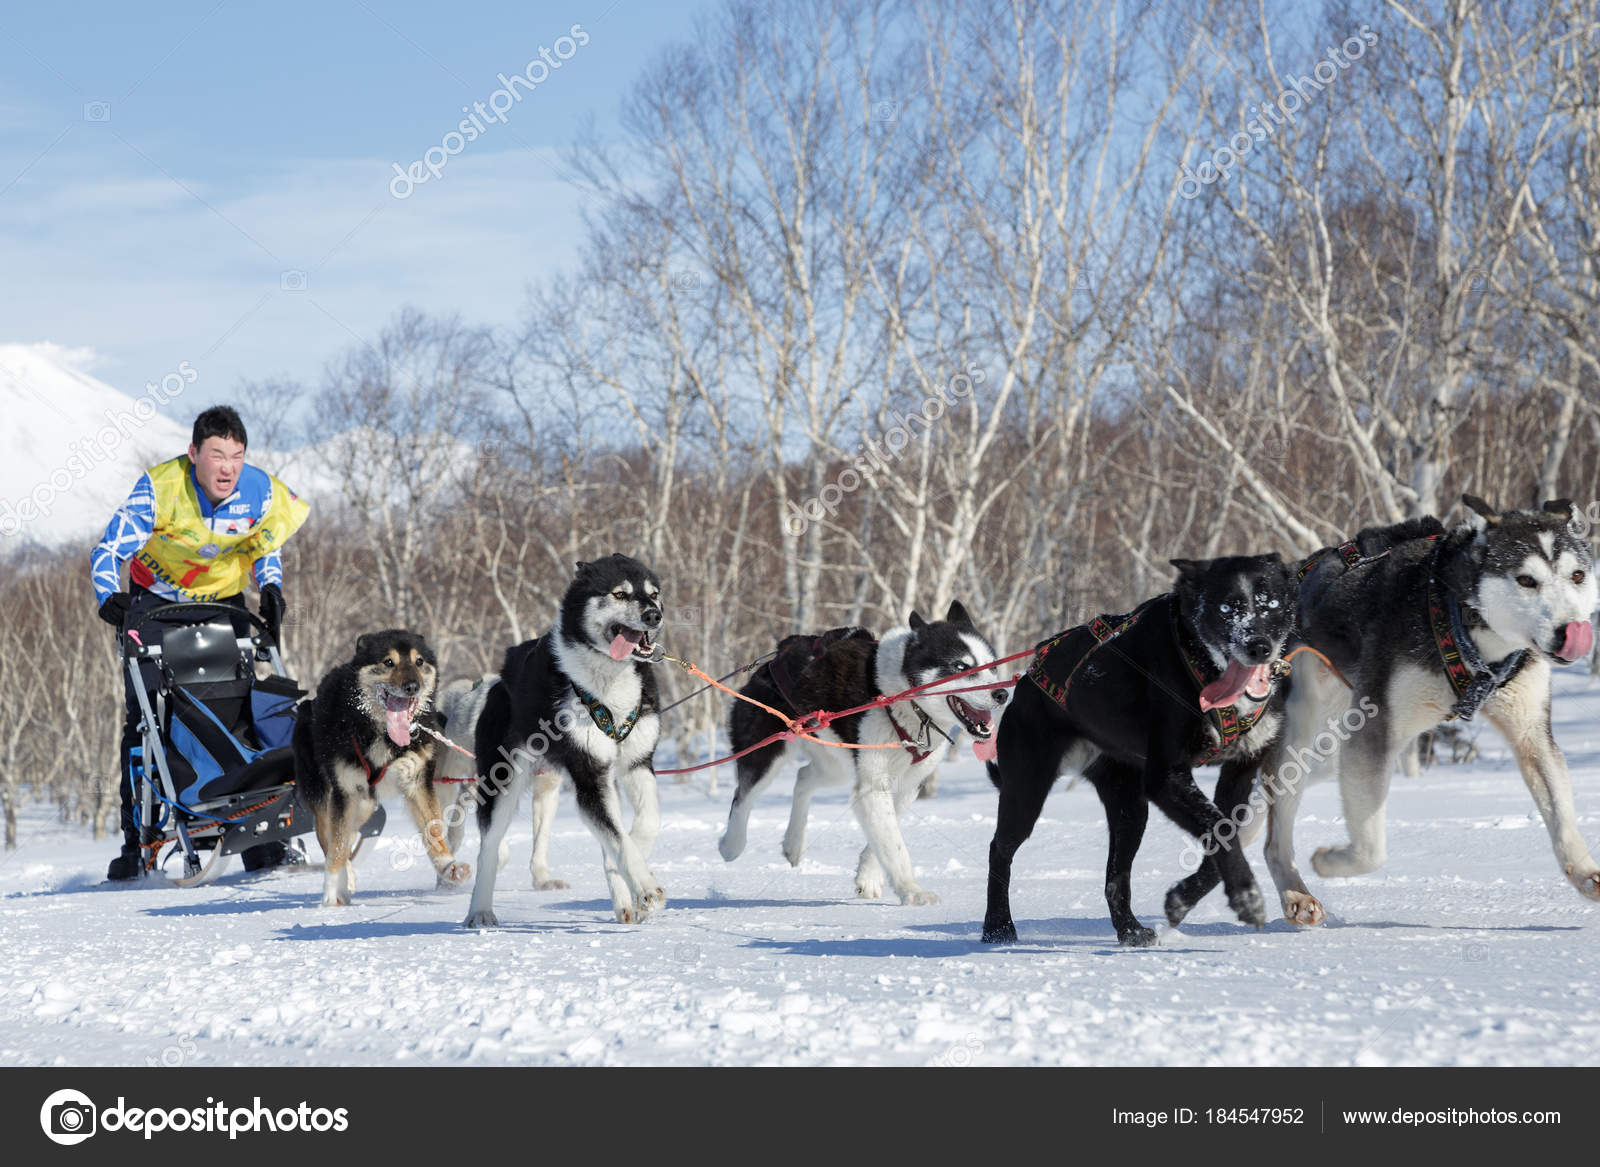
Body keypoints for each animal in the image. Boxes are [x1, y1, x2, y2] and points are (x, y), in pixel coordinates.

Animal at [972, 553, 1299, 947]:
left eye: (1272, 604)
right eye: (1226, 608)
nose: (1258, 645)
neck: (1198, 664)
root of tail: (1028, 678)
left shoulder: (1240, 770)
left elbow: (1224, 832)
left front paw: (1182, 897)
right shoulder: (1165, 776)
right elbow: (1218, 828)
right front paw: (1246, 896)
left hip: (1129, 807)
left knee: (1116, 876)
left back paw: (1129, 928)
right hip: (1027, 789)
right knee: (999, 850)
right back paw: (997, 926)